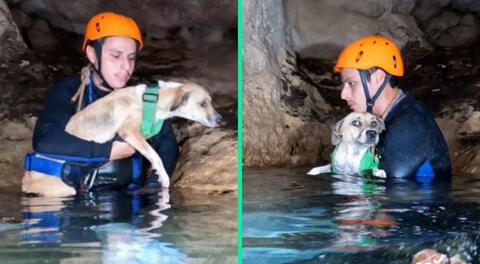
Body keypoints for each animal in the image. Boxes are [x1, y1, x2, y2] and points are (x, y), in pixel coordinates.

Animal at [22, 80, 223, 196]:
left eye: (211, 102)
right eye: (203, 104)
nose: (221, 120)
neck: (154, 101)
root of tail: (27, 179)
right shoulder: (130, 132)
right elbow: (155, 156)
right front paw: (163, 177)